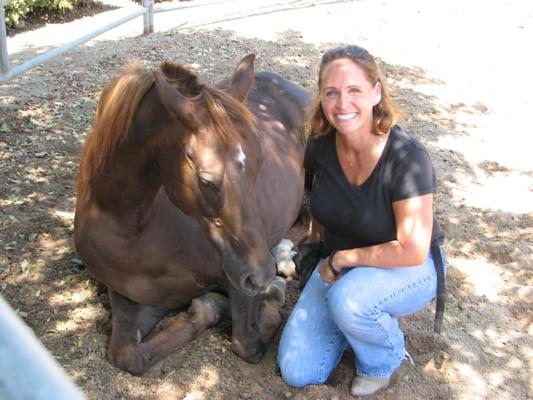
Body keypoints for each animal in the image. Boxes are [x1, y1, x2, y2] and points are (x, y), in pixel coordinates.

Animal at [72, 54, 310, 376]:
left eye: (259, 163)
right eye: (207, 181)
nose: (261, 275)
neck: (133, 231)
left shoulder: (235, 278)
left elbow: (246, 343)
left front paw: (268, 298)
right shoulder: (128, 297)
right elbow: (126, 355)